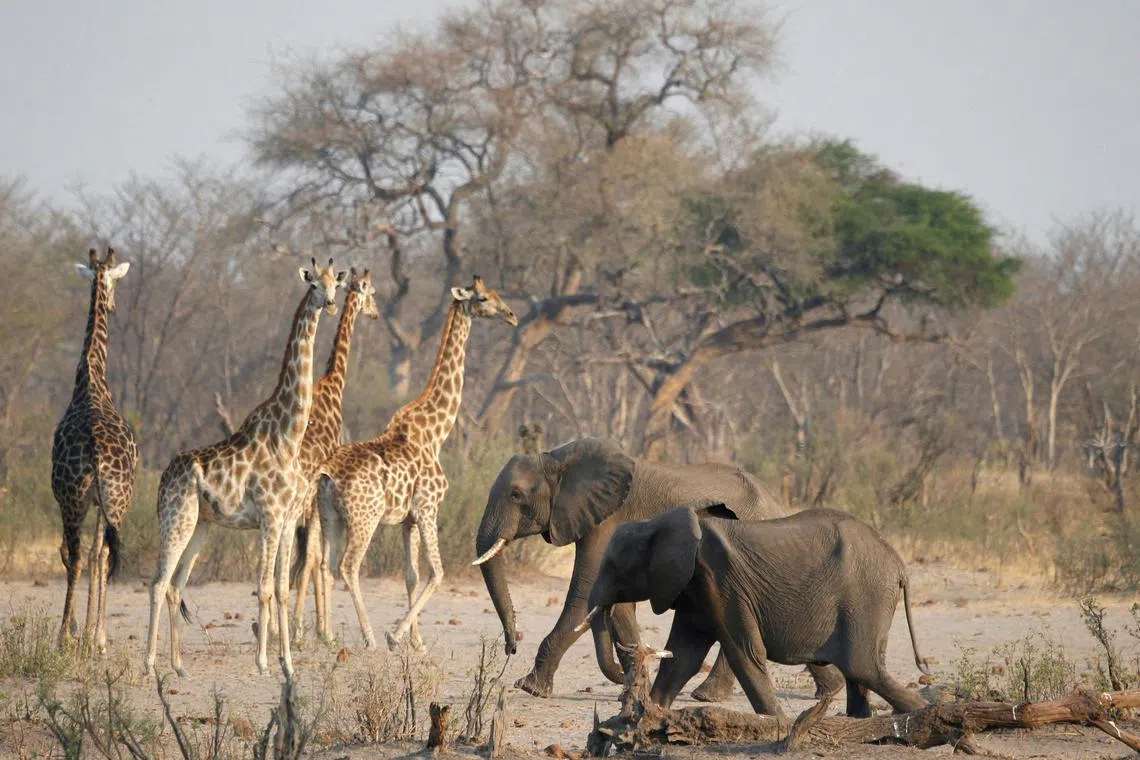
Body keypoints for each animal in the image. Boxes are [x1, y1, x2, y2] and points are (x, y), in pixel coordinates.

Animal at [472, 436, 845, 700]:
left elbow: (584, 593)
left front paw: (529, 687)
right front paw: (632, 684)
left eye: (516, 495)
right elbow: (615, 603)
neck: (557, 458)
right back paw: (831, 690)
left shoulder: (607, 518)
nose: (511, 647)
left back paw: (707, 696)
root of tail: (778, 504)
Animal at [583, 504, 930, 718]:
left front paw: (778, 724)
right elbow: (682, 657)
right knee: (861, 672)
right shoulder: (695, 589)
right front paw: (649, 716)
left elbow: (745, 653)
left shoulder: (720, 581)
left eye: (613, 566)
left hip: (865, 597)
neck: (660, 523)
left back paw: (922, 711)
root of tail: (899, 564)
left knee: (862, 667)